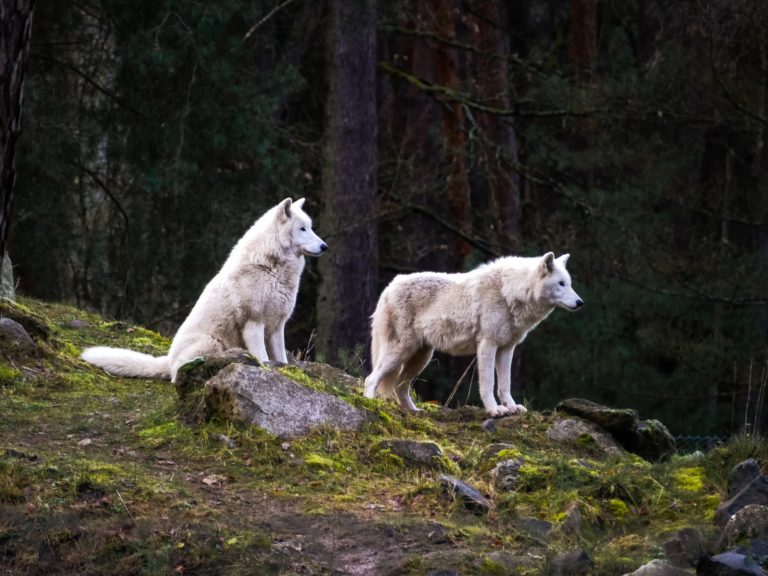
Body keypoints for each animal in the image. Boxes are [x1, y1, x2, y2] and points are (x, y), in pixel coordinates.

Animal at [82, 198, 328, 382]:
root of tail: (168, 360)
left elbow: (281, 358)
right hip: (211, 343)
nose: (325, 246)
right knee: (177, 375)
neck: (272, 267)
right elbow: (262, 357)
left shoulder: (277, 326)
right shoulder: (253, 323)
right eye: (302, 229)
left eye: (311, 228)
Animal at [364, 254, 584, 416]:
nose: (580, 302)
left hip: (421, 357)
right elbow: (488, 383)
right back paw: (368, 403)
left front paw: (512, 408)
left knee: (399, 387)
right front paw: (495, 410)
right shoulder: (488, 344)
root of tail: (389, 287)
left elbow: (505, 384)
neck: (509, 293)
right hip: (401, 351)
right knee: (371, 379)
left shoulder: (506, 349)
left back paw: (414, 412)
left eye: (570, 283)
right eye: (561, 283)